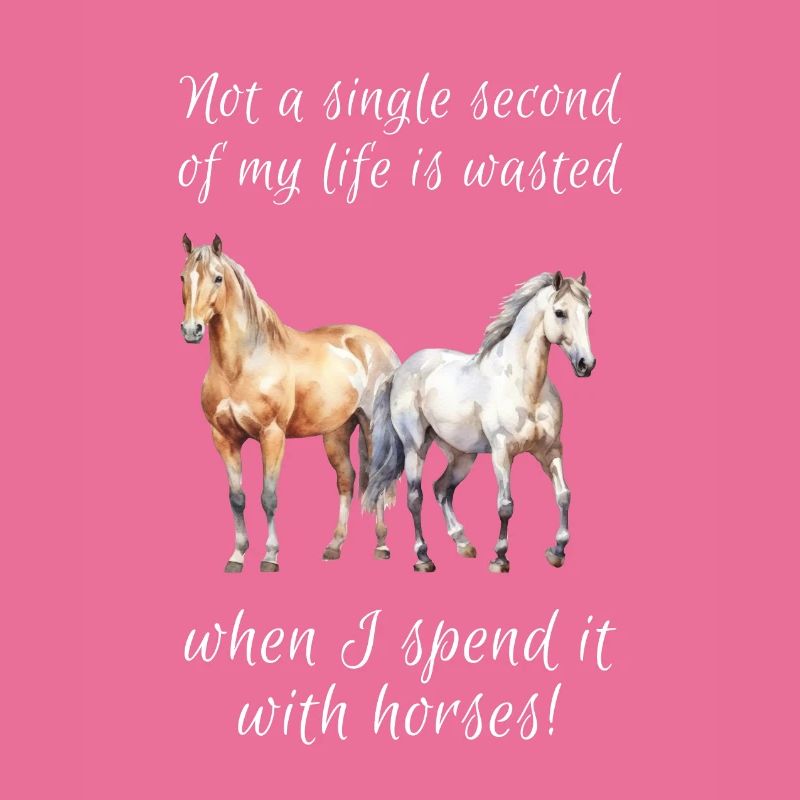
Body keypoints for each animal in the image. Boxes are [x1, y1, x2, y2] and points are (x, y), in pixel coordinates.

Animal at [179, 234, 400, 572]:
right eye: (182, 277)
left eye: (217, 278)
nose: (192, 330)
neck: (242, 364)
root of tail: (378, 345)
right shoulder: (224, 438)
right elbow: (237, 499)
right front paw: (237, 556)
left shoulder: (272, 435)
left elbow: (268, 497)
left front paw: (270, 557)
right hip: (336, 432)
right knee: (346, 479)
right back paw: (334, 546)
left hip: (372, 426)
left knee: (378, 476)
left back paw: (382, 545)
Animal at [363, 271, 595, 573]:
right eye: (560, 312)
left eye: (589, 312)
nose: (586, 364)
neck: (524, 387)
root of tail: (401, 371)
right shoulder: (502, 452)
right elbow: (505, 505)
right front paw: (500, 557)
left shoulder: (551, 450)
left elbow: (564, 495)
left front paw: (557, 551)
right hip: (415, 448)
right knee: (415, 498)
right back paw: (423, 557)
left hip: (462, 456)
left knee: (441, 489)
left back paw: (463, 543)